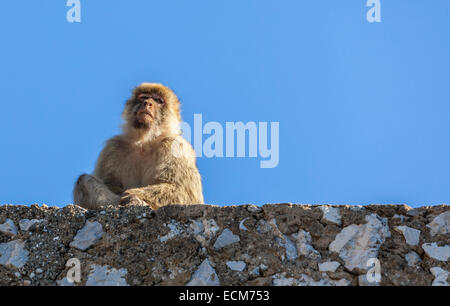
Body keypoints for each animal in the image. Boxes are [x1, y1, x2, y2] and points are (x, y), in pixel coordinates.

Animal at [73, 82, 204, 209]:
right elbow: (108, 182)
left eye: (158, 100)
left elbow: (182, 191)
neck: (144, 142)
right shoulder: (112, 147)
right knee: (83, 180)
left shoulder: (174, 145)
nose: (147, 103)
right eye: (144, 97)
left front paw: (130, 194)